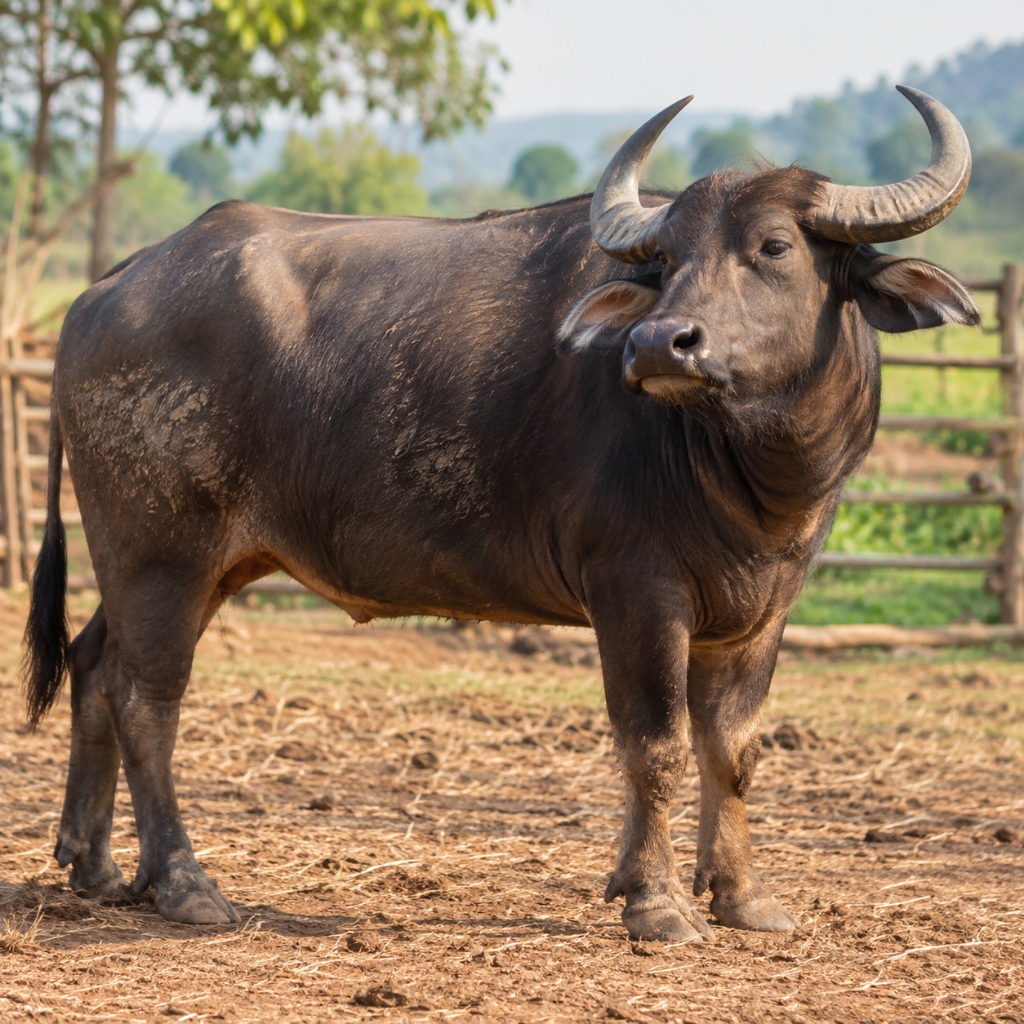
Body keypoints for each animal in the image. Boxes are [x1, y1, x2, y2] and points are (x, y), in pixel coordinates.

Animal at [25, 86, 978, 941]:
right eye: (667, 262)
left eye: (774, 246)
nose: (656, 343)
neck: (745, 473)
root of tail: (103, 292)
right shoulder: (636, 593)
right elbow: (656, 745)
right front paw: (657, 904)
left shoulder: (763, 611)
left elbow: (732, 751)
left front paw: (743, 899)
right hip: (163, 554)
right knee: (148, 698)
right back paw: (183, 884)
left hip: (176, 562)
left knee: (94, 665)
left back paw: (94, 864)